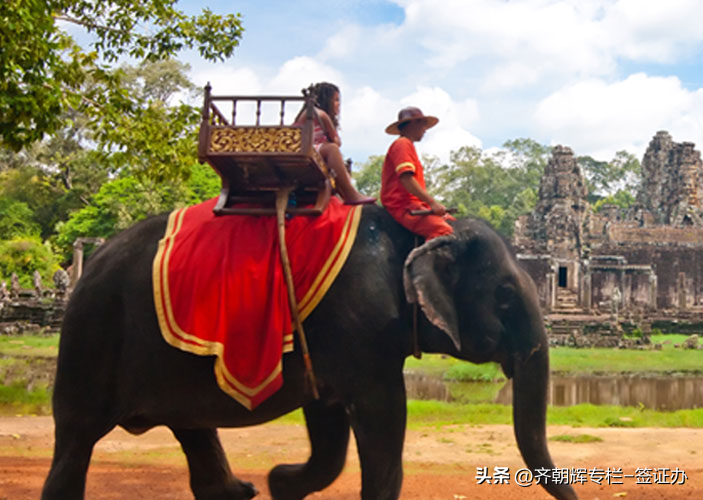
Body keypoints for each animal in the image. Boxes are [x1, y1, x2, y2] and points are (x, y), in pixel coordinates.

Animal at [41, 204, 576, 500]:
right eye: (504, 295)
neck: (418, 232)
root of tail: (90, 264)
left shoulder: (330, 346)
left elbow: (330, 433)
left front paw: (281, 484)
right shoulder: (361, 327)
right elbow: (383, 419)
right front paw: (286, 482)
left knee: (193, 432)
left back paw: (242, 491)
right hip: (91, 337)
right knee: (76, 441)